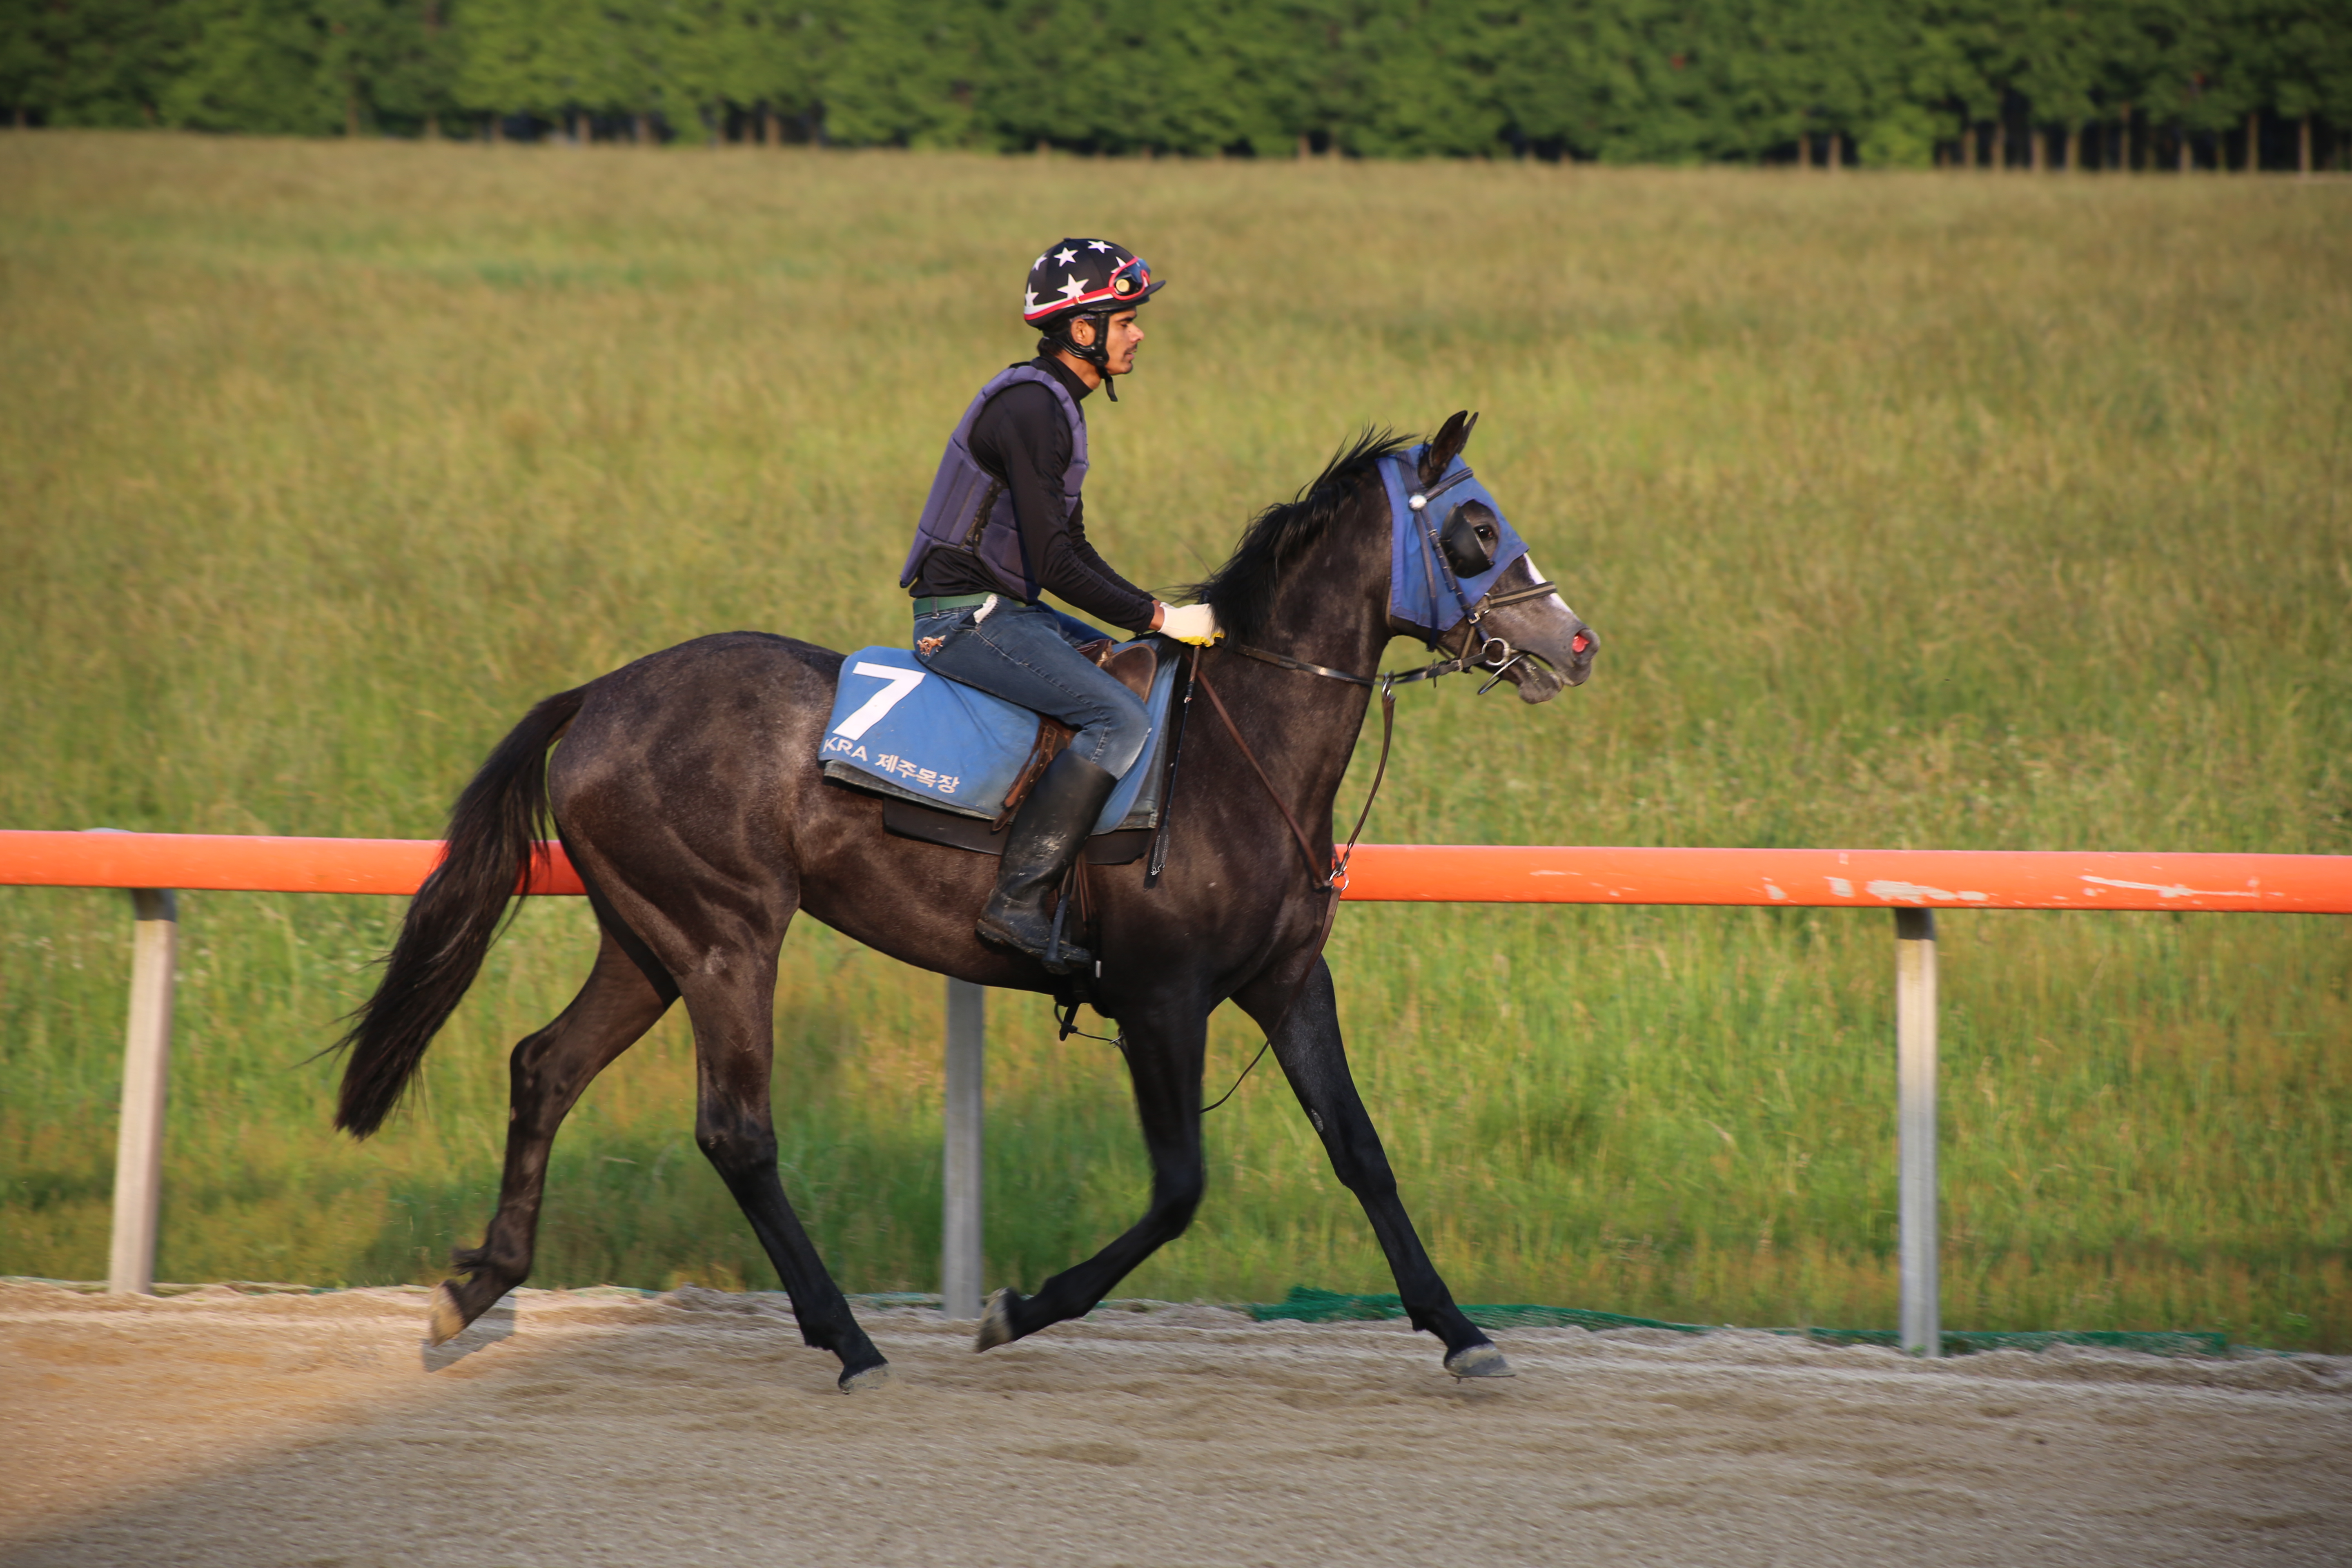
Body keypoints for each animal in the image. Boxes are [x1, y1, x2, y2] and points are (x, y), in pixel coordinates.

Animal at [336, 411, 1599, 1392]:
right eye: (1474, 527)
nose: (1576, 642)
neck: (1241, 752)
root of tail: (599, 693)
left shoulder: (1288, 982)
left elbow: (1363, 1152)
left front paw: (1462, 1331)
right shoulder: (1162, 997)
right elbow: (1179, 1188)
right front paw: (1016, 1308)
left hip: (648, 940)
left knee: (544, 1066)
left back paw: (477, 1288)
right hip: (727, 935)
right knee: (736, 1131)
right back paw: (846, 1338)